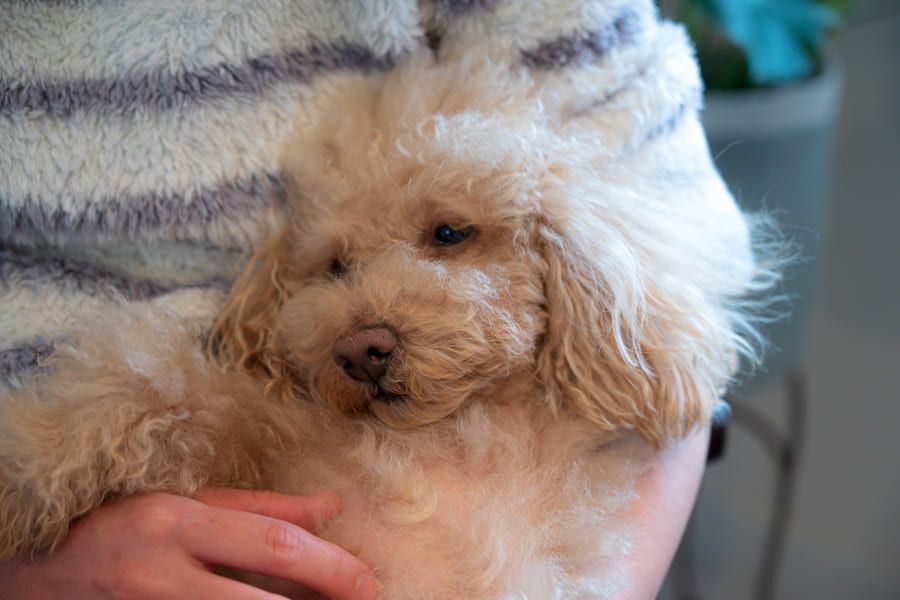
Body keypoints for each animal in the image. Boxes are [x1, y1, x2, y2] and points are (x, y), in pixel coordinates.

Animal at [0, 55, 768, 596]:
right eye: (335, 265)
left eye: (450, 233)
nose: (360, 350)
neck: (451, 442)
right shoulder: (277, 460)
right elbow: (151, 395)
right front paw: (21, 484)